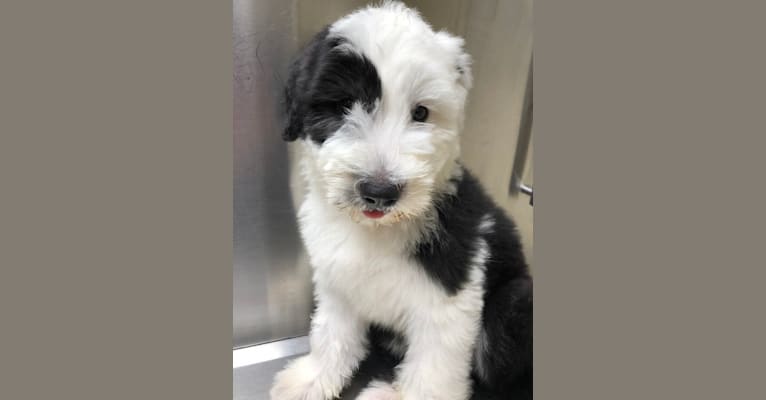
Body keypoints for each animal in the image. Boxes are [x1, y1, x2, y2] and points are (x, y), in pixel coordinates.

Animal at [272, 1, 536, 398]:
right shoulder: (337, 278)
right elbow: (332, 332)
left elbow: (433, 368)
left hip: (513, 302)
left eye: (421, 113)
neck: (374, 232)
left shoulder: (449, 298)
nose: (380, 192)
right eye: (343, 104)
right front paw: (311, 378)